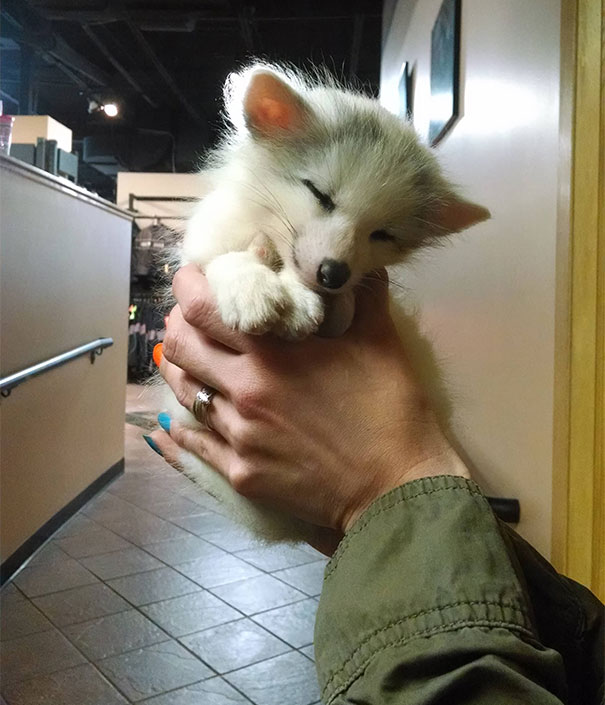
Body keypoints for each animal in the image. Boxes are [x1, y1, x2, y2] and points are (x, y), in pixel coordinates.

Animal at [163, 63, 490, 543]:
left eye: (382, 234)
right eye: (320, 194)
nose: (333, 274)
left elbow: (333, 306)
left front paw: (303, 300)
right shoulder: (203, 251)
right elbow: (227, 259)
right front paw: (252, 288)